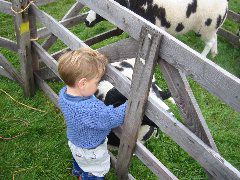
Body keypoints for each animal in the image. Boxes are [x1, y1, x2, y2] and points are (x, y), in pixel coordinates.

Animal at [86, 0, 229, 57]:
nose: (86, 22)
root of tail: (226, 5)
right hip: (211, 28)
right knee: (215, 37)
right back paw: (214, 54)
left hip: (206, 27)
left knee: (210, 42)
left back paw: (202, 57)